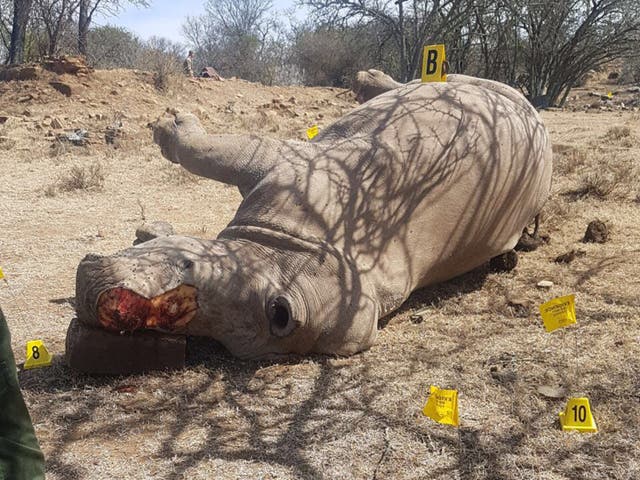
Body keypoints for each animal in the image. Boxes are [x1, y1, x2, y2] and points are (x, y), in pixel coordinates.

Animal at [69, 74, 552, 370]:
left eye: (186, 268)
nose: (90, 295)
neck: (287, 250)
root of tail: (538, 119)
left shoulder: (291, 164)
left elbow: (219, 150)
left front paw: (170, 126)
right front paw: (149, 229)